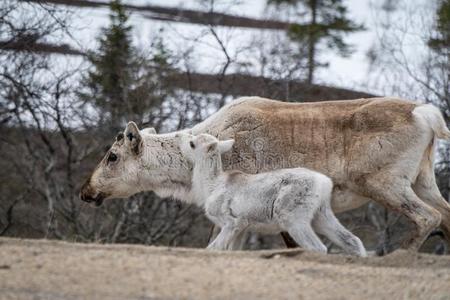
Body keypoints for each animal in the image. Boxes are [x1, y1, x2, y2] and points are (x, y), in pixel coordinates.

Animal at [178, 132, 368, 256]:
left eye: (192, 144)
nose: (182, 141)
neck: (211, 185)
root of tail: (324, 183)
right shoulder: (241, 228)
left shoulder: (231, 223)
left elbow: (213, 248)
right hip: (322, 215)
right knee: (353, 241)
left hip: (293, 219)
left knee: (318, 248)